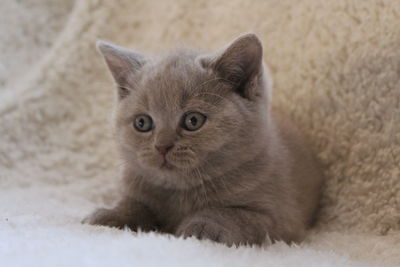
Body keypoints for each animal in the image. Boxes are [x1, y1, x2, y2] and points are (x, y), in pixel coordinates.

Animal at [83, 33, 324, 247]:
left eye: (193, 120)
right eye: (142, 123)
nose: (162, 146)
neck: (180, 192)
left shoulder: (282, 220)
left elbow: (232, 214)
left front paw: (201, 227)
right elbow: (134, 204)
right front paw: (111, 215)